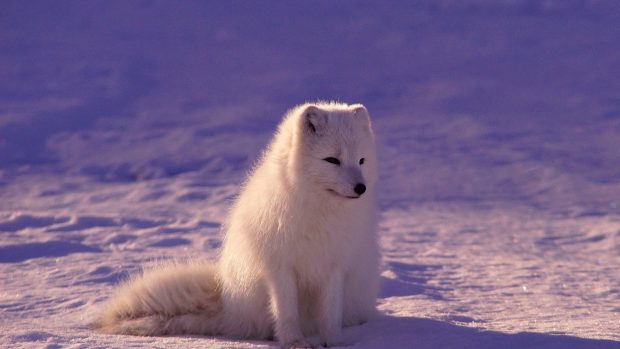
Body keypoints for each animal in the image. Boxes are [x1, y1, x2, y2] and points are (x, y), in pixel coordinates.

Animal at [94, 102, 380, 346]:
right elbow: (286, 311)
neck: (320, 212)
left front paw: (334, 343)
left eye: (361, 160)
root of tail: (228, 305)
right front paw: (294, 343)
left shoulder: (335, 265)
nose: (361, 188)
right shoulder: (279, 267)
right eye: (332, 160)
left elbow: (330, 313)